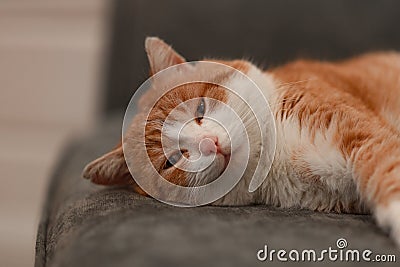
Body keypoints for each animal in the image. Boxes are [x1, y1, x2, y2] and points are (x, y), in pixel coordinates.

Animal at [83, 36, 400, 248]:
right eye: (171, 162)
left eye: (200, 108)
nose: (209, 143)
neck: (277, 155)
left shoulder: (363, 136)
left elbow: (385, 167)